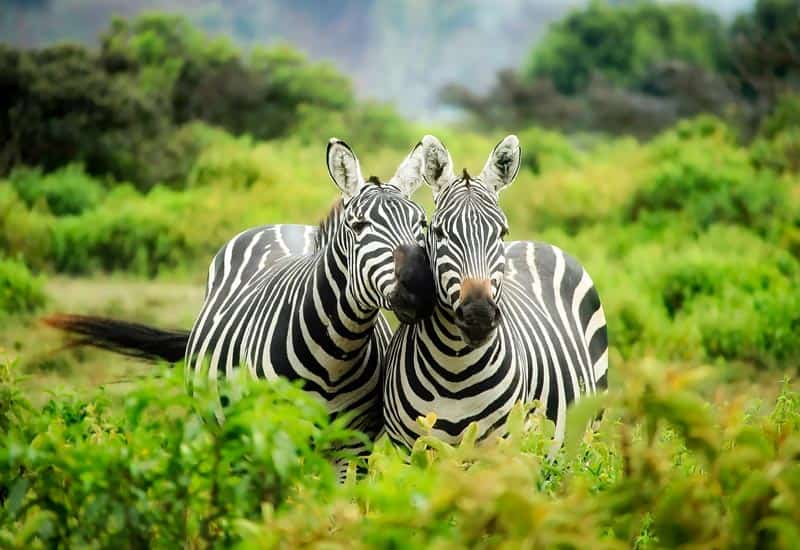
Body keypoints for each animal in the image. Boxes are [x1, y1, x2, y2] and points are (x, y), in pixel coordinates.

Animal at [46, 138, 435, 447]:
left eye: (422, 223)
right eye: (358, 226)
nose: (419, 286)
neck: (336, 354)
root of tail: (283, 225)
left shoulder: (352, 446)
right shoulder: (274, 434)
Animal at [383, 135, 608, 450]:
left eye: (501, 232)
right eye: (438, 232)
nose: (478, 316)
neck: (454, 370)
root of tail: (536, 243)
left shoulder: (499, 447)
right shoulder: (408, 449)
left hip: (589, 430)